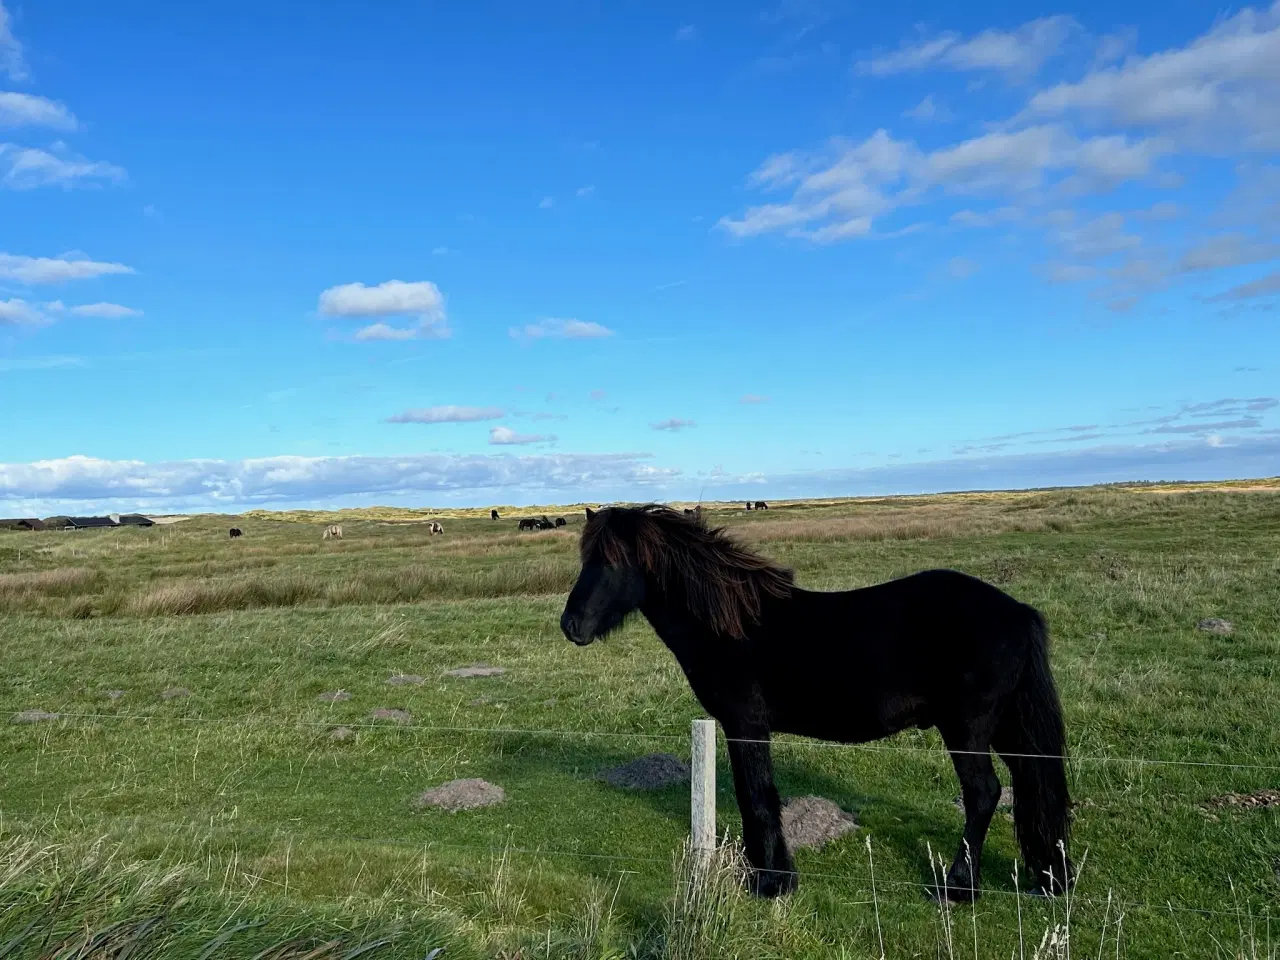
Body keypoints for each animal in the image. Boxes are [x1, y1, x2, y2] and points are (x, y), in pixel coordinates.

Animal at [560, 506, 1070, 906]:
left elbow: (756, 797)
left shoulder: (745, 724)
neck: (732, 625)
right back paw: (1047, 878)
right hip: (1006, 727)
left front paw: (771, 882)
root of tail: (1019, 612)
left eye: (612, 561)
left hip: (967, 729)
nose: (571, 625)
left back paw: (958, 887)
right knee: (1032, 788)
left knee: (983, 794)